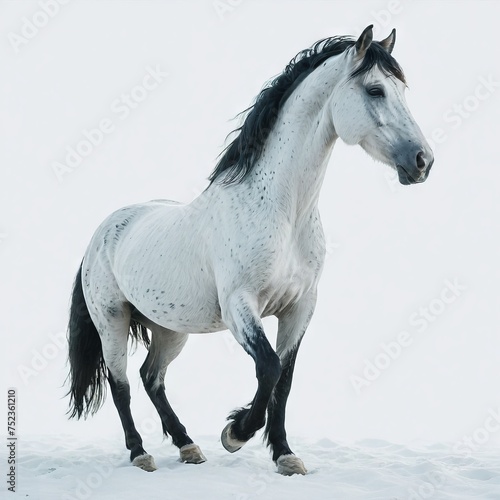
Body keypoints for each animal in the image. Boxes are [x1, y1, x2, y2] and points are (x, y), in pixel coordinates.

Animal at [66, 26, 434, 476]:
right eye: (376, 89)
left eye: (403, 90)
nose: (422, 161)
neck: (283, 213)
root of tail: (101, 233)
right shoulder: (240, 305)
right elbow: (269, 368)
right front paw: (235, 433)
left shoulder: (300, 308)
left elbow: (284, 379)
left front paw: (285, 454)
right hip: (112, 322)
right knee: (120, 384)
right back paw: (141, 454)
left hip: (170, 328)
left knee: (151, 378)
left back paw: (188, 446)